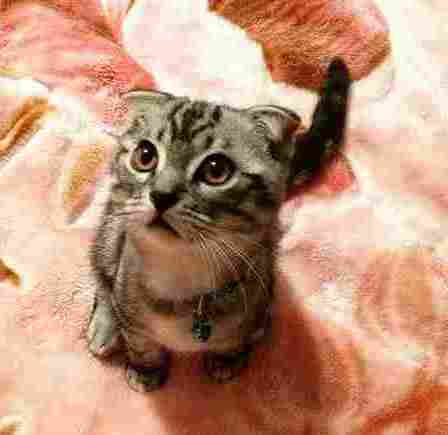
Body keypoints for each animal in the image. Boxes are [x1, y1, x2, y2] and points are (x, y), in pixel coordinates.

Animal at [87, 58, 351, 392]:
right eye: (145, 156)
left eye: (216, 170)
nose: (161, 194)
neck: (181, 275)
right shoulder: (129, 289)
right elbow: (140, 341)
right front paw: (145, 369)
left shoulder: (254, 295)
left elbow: (235, 339)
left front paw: (227, 361)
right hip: (111, 229)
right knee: (103, 273)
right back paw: (105, 325)